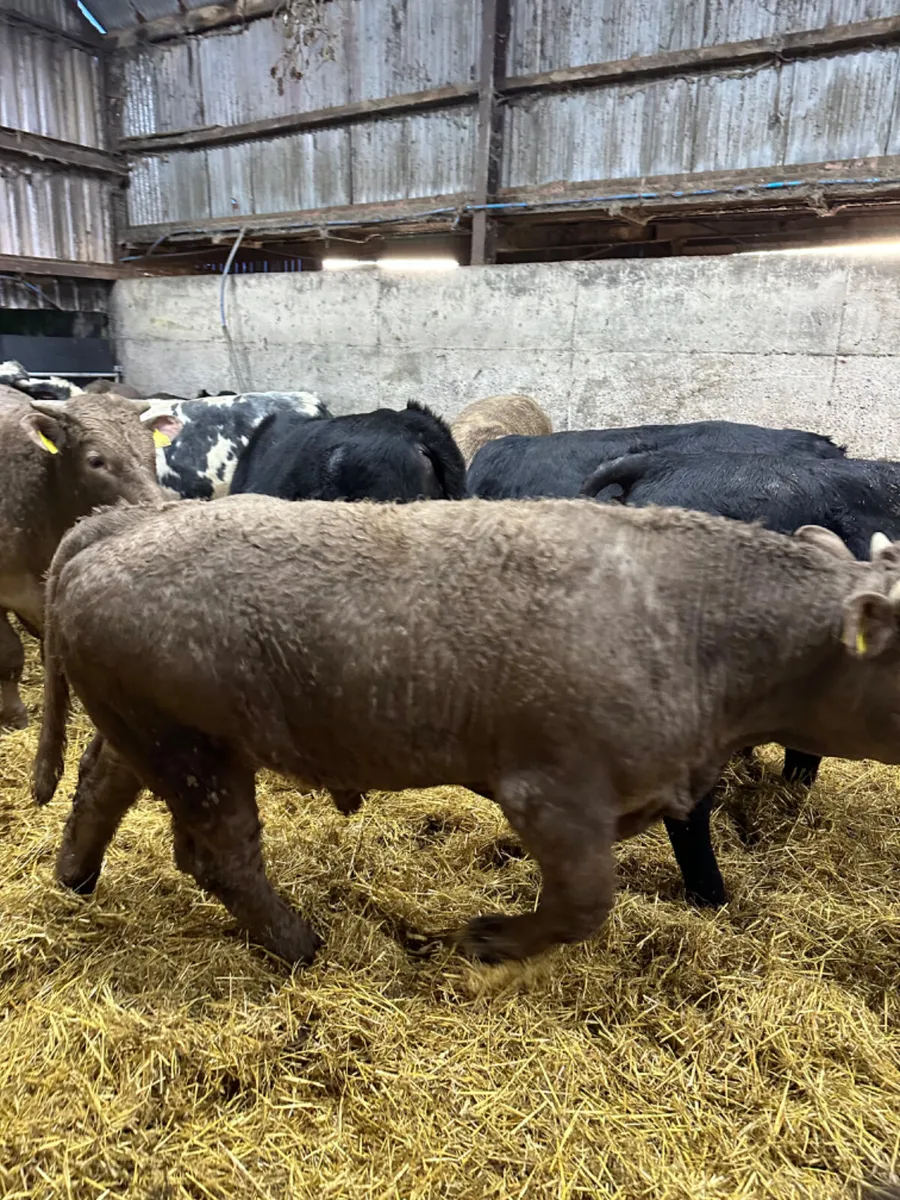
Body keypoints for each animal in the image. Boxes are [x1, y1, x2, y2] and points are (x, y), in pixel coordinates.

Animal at [33, 496, 900, 968]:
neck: (693, 620)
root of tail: (117, 523)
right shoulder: (552, 793)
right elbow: (584, 902)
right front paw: (484, 939)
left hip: (154, 737)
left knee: (100, 782)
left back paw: (76, 878)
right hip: (193, 751)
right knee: (220, 855)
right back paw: (302, 945)